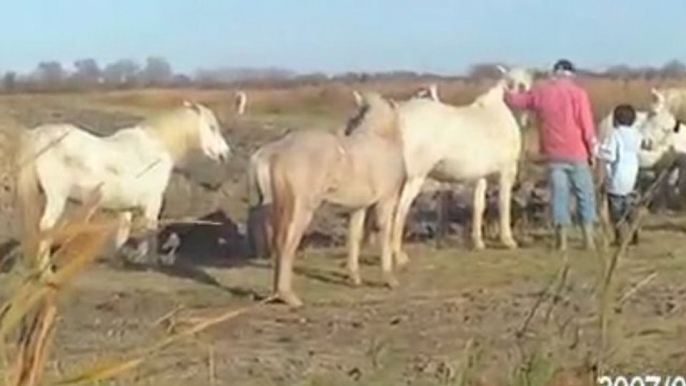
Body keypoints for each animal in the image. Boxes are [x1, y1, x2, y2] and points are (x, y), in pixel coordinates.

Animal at [17, 101, 232, 272]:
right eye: (212, 127)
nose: (225, 153)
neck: (156, 147)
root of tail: (39, 136)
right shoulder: (152, 203)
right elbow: (149, 232)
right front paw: (150, 264)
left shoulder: (125, 207)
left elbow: (123, 234)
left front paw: (120, 261)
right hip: (57, 197)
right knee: (46, 227)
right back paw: (45, 270)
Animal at [266, 92, 406, 306]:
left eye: (353, 118)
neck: (380, 138)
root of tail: (281, 151)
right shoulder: (386, 200)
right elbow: (384, 234)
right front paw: (389, 279)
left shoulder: (359, 207)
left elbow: (354, 237)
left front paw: (354, 278)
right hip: (301, 210)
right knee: (287, 244)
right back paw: (288, 296)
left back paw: (277, 294)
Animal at [390, 75, 524, 268]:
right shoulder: (507, 171)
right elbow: (504, 204)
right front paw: (508, 240)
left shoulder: (481, 177)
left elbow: (478, 206)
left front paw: (478, 242)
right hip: (412, 178)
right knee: (400, 209)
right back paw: (398, 255)